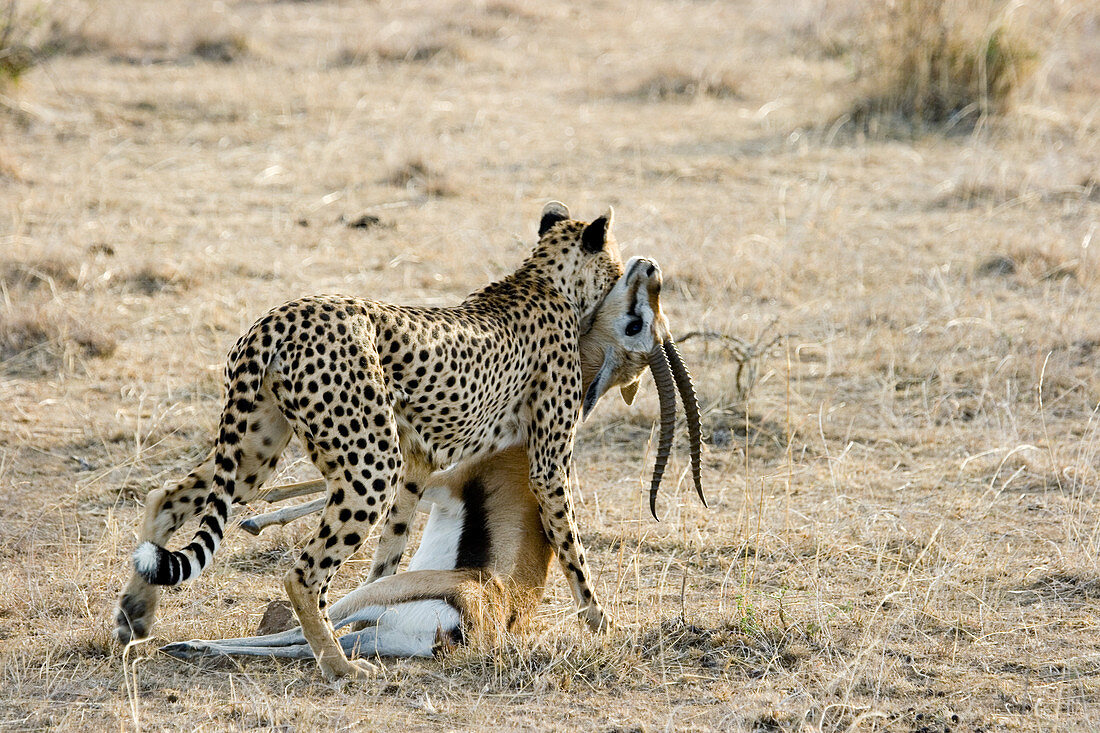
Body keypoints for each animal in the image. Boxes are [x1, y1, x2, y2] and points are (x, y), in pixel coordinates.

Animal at [117, 201, 629, 677]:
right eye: (618, 269)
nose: (625, 278)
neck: (544, 281)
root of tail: (280, 315)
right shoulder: (544, 467)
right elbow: (572, 547)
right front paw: (600, 620)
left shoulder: (418, 462)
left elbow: (387, 556)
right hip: (370, 466)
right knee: (303, 575)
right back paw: (339, 666)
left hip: (254, 454)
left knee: (167, 498)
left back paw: (134, 617)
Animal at [158, 258, 699, 660]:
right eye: (639, 321)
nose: (650, 267)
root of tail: (466, 625)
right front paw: (264, 515)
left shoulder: (438, 475)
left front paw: (261, 516)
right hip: (373, 616)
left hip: (370, 593)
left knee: (306, 607)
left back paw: (189, 642)